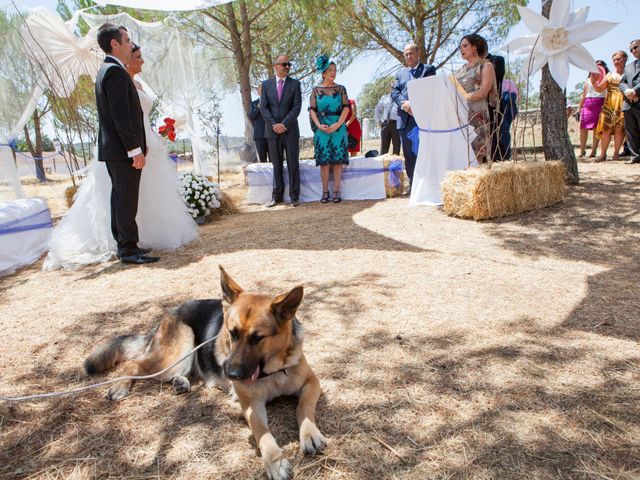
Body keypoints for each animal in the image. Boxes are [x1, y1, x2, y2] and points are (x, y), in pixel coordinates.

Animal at [84, 266, 324, 480]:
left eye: (258, 338)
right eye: (232, 333)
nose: (230, 373)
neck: (274, 371)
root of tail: (173, 311)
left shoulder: (312, 382)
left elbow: (304, 408)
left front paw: (310, 434)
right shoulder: (251, 404)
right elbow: (262, 432)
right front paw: (275, 461)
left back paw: (180, 383)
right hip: (178, 352)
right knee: (134, 364)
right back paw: (119, 387)